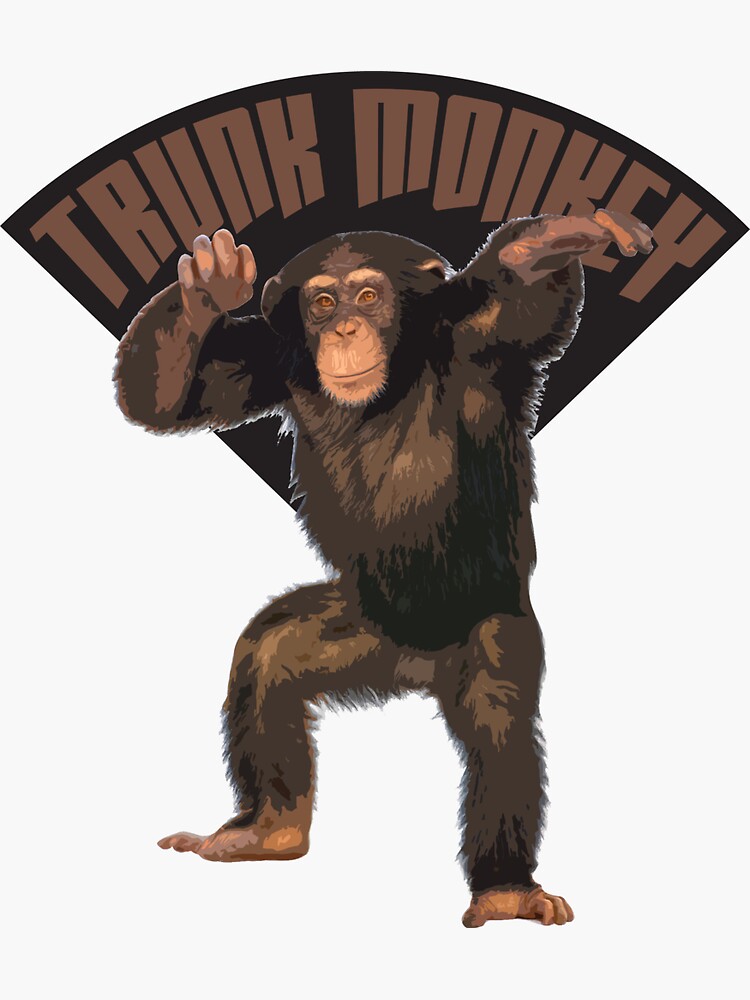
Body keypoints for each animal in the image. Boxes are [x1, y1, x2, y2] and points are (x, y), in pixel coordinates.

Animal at [114, 210, 652, 927]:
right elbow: (167, 399)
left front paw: (549, 243)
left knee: (498, 716)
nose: (344, 328)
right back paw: (269, 828)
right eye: (322, 302)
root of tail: (417, 669)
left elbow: (526, 298)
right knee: (268, 656)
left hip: (484, 629)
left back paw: (506, 889)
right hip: (360, 629)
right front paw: (208, 286)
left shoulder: (485, 335)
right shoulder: (268, 361)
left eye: (368, 297)